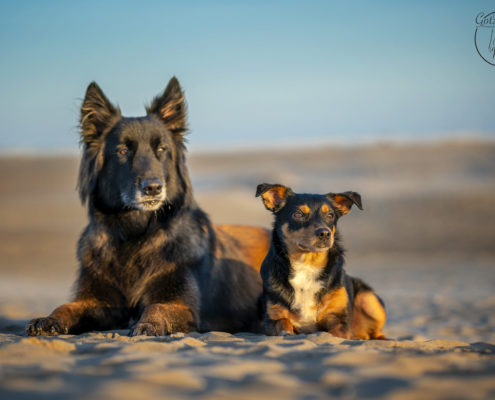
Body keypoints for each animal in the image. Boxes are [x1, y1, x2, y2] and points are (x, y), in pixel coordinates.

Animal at [25, 76, 270, 336]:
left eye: (161, 149)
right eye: (123, 151)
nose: (153, 188)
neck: (134, 233)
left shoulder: (180, 305)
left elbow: (156, 307)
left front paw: (148, 324)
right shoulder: (98, 301)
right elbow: (67, 306)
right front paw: (49, 319)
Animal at [256, 184, 388, 338]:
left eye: (330, 215)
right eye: (298, 214)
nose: (325, 233)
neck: (307, 264)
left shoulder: (339, 319)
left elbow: (334, 334)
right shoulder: (273, 318)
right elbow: (284, 324)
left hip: (370, 301)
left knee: (376, 332)